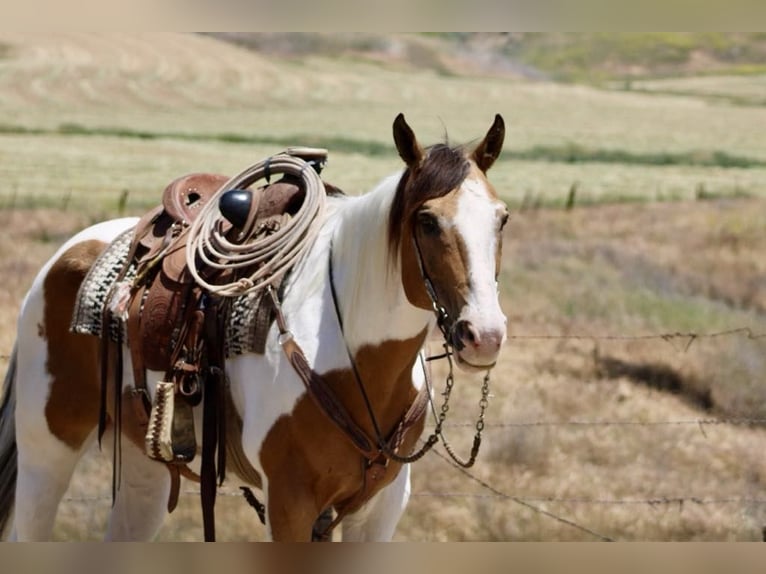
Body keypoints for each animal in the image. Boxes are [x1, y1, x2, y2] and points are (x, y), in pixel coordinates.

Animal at [0, 113, 509, 541]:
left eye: (502, 218)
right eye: (427, 221)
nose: (483, 336)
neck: (354, 360)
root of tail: (66, 253)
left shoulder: (380, 508)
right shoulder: (289, 503)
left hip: (144, 466)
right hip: (48, 447)